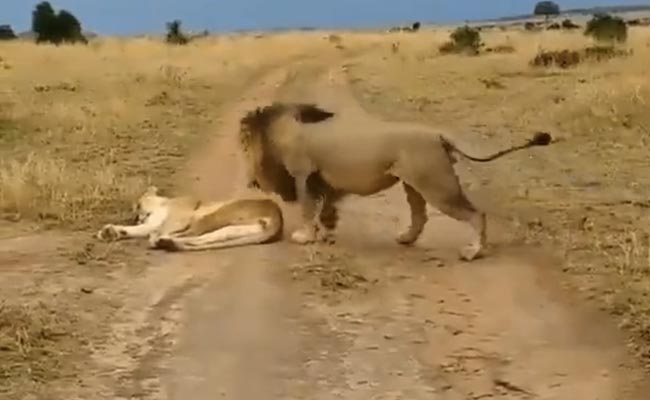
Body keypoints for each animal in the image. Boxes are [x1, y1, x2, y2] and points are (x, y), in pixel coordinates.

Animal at [96, 186, 283, 252]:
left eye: (137, 204)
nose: (136, 216)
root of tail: (278, 219)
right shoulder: (152, 223)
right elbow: (139, 230)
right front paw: (110, 232)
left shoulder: (179, 217)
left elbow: (158, 228)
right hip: (230, 230)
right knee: (199, 239)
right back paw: (167, 243)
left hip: (216, 215)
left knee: (190, 235)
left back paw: (161, 241)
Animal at [238, 101, 554, 261]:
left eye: (245, 143)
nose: (251, 180)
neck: (284, 129)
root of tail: (439, 135)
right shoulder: (323, 180)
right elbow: (326, 208)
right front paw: (326, 232)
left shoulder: (303, 175)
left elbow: (306, 209)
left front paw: (305, 237)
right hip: (414, 184)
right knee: (419, 215)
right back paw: (406, 238)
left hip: (436, 183)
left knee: (476, 214)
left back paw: (472, 251)